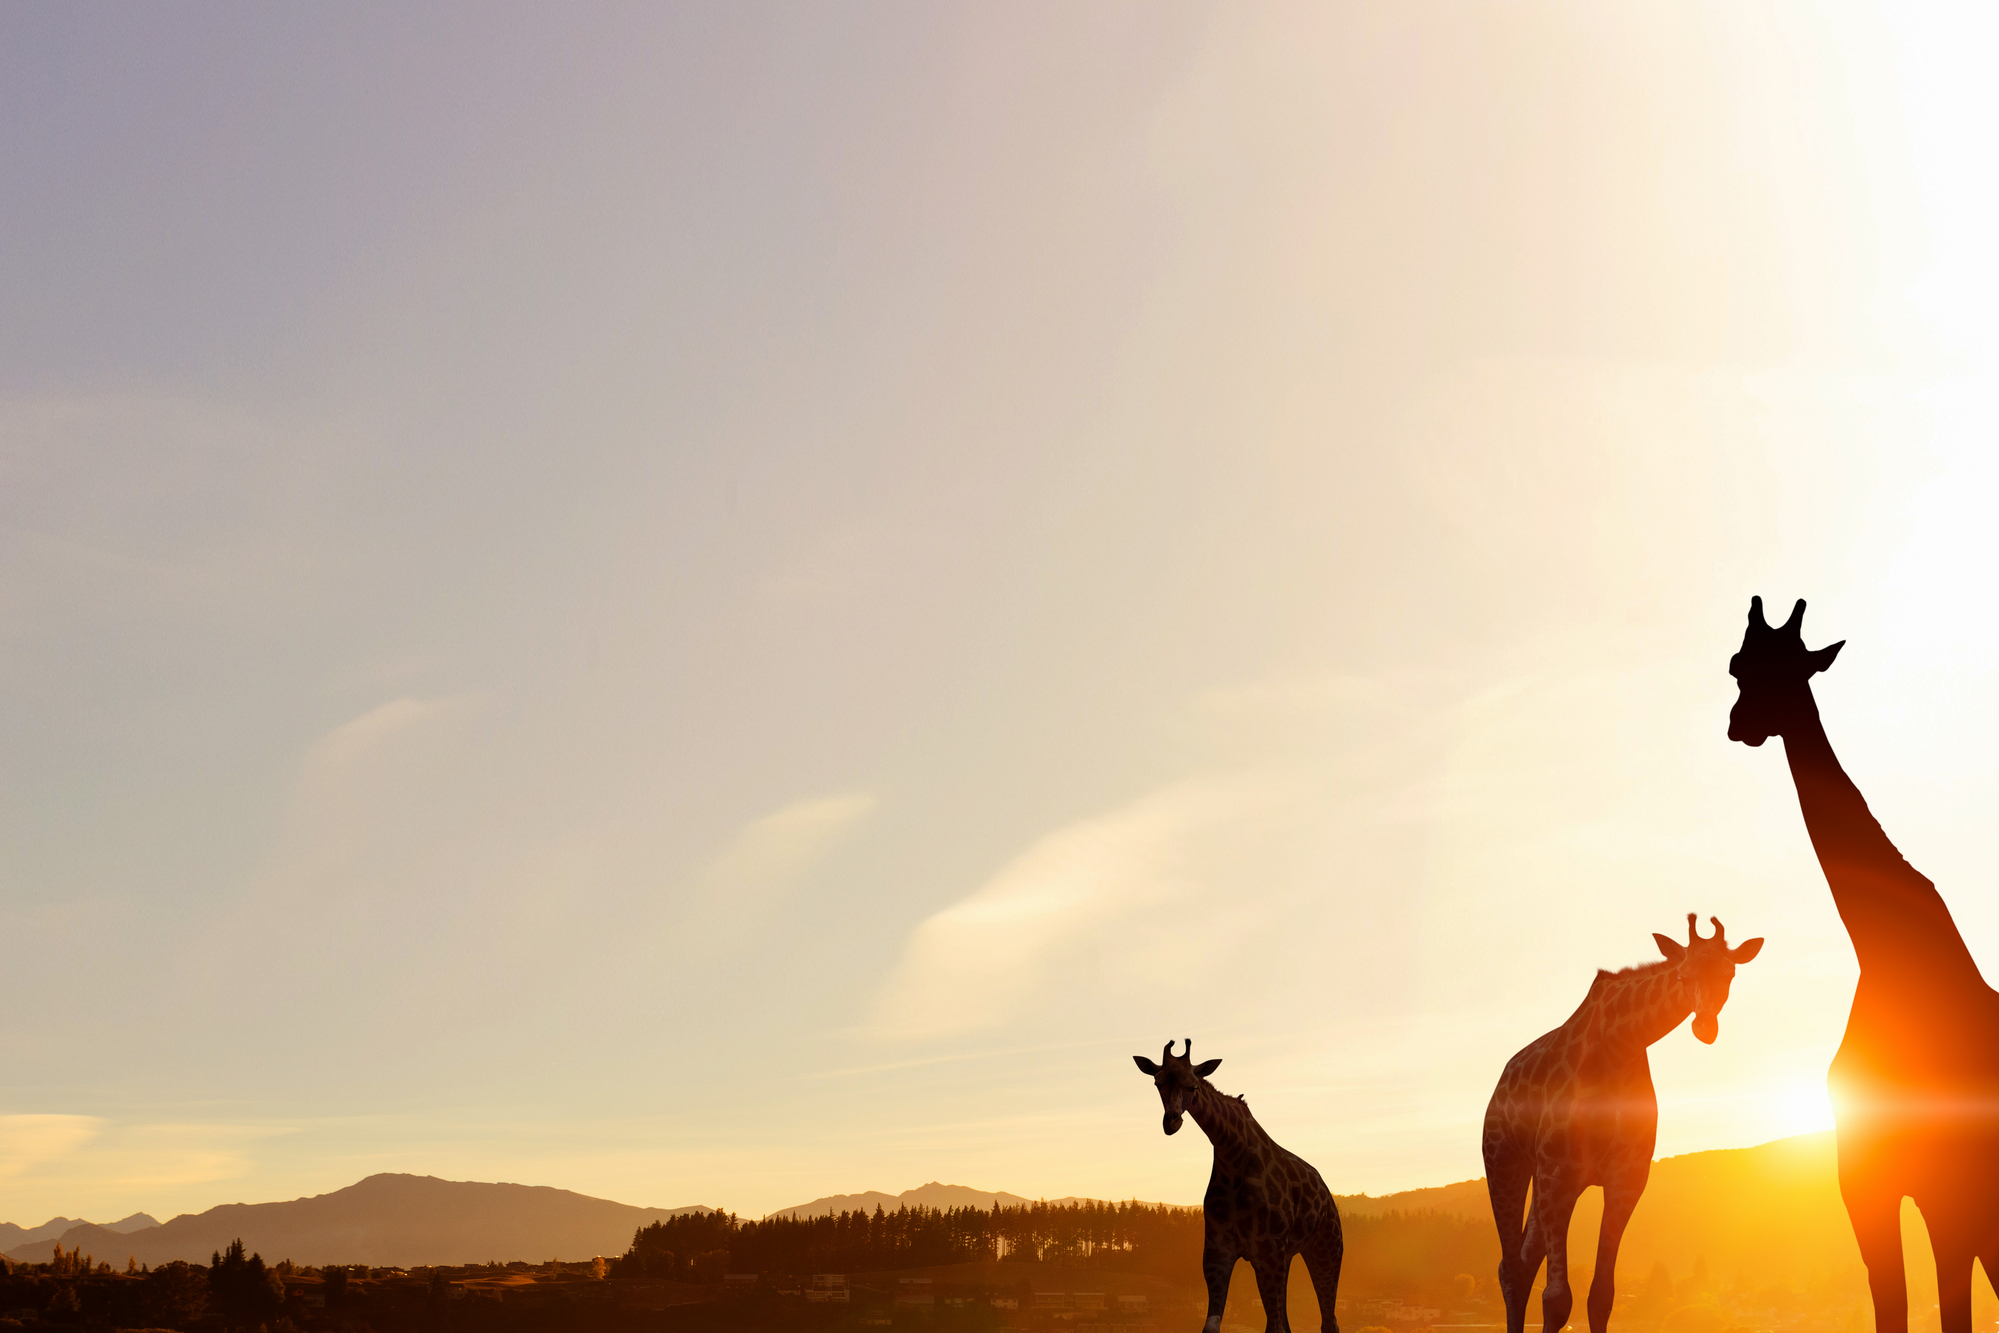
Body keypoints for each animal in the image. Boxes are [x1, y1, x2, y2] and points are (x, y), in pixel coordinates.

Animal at [1127, 1039, 1343, 1333]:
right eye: (1157, 1082)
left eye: (1193, 1085)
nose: (1171, 1121)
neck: (1232, 1156)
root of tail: (1327, 1194)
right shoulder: (1218, 1251)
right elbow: (1214, 1325)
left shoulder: (1268, 1249)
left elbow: (1276, 1326)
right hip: (1288, 1256)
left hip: (1325, 1249)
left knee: (1327, 1320)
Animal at [1479, 911, 1759, 1333]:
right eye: (1682, 975)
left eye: (1730, 974)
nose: (1705, 1027)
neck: (1620, 1046)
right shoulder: (1558, 1172)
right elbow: (1557, 1298)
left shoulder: (1626, 1177)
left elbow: (1601, 1297)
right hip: (1506, 1163)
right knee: (1510, 1268)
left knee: (1524, 1264)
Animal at [1727, 599, 1999, 1333]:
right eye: (1738, 665)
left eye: (1784, 669)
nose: (1738, 723)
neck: (1886, 955)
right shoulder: (1863, 1178)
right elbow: (1892, 1305)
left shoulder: (1948, 1192)